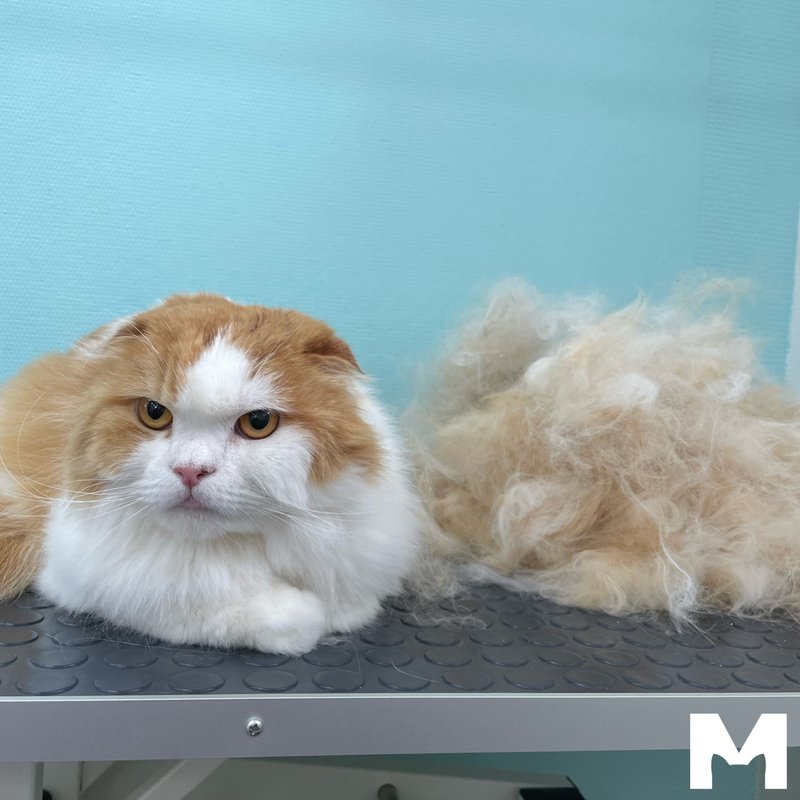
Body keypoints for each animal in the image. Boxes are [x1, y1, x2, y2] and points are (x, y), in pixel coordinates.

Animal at [0, 293, 419, 655]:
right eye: (154, 413)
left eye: (258, 422)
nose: (190, 470)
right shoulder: (80, 577)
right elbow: (211, 609)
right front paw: (298, 618)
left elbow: (354, 606)